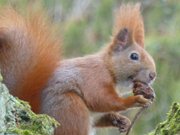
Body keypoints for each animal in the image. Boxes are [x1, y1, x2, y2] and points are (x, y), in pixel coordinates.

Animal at [0, 3, 156, 135]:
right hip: (71, 108)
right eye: (134, 56)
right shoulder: (94, 77)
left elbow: (101, 114)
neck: (108, 68)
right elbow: (102, 100)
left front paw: (121, 120)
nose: (153, 75)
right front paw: (134, 100)